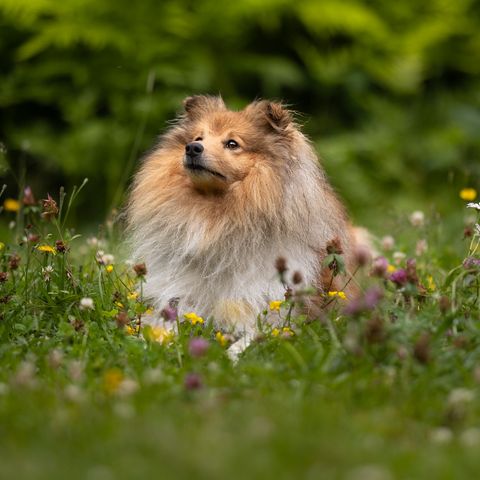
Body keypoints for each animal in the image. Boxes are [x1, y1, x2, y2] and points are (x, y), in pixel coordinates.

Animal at [127, 94, 364, 356]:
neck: (217, 217)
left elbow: (250, 339)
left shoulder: (271, 311)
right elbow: (165, 325)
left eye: (232, 144)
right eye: (198, 138)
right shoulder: (182, 295)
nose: (192, 148)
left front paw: (231, 355)